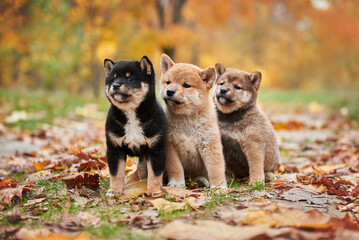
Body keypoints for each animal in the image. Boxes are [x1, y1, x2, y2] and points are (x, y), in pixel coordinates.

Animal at [103, 57, 167, 196]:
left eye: (131, 78)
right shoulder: (114, 149)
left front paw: (154, 191)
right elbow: (116, 174)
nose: (115, 85)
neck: (131, 115)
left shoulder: (156, 150)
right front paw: (114, 191)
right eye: (113, 79)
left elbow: (155, 175)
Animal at [161, 53, 228, 188]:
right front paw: (176, 183)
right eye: (168, 82)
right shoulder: (170, 146)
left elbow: (215, 168)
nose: (169, 91)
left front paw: (219, 187)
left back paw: (201, 181)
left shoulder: (209, 144)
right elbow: (175, 168)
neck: (186, 119)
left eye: (186, 85)